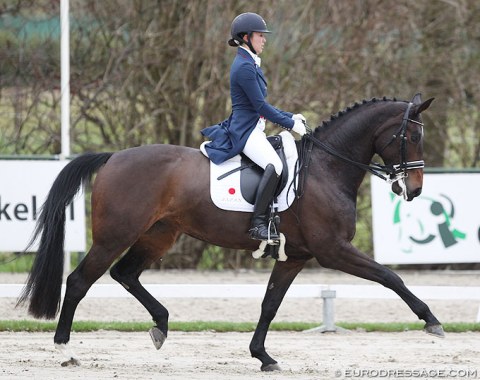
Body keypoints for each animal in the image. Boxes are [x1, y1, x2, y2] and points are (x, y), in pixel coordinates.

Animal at [18, 93, 446, 370]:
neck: (326, 168)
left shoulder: (296, 256)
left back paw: (161, 325)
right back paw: (65, 351)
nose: (414, 190)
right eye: (412, 136)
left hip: (159, 234)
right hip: (115, 236)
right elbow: (390, 276)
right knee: (79, 281)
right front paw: (432, 321)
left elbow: (270, 304)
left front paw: (263, 356)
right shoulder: (332, 250)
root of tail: (113, 158)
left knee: (125, 274)